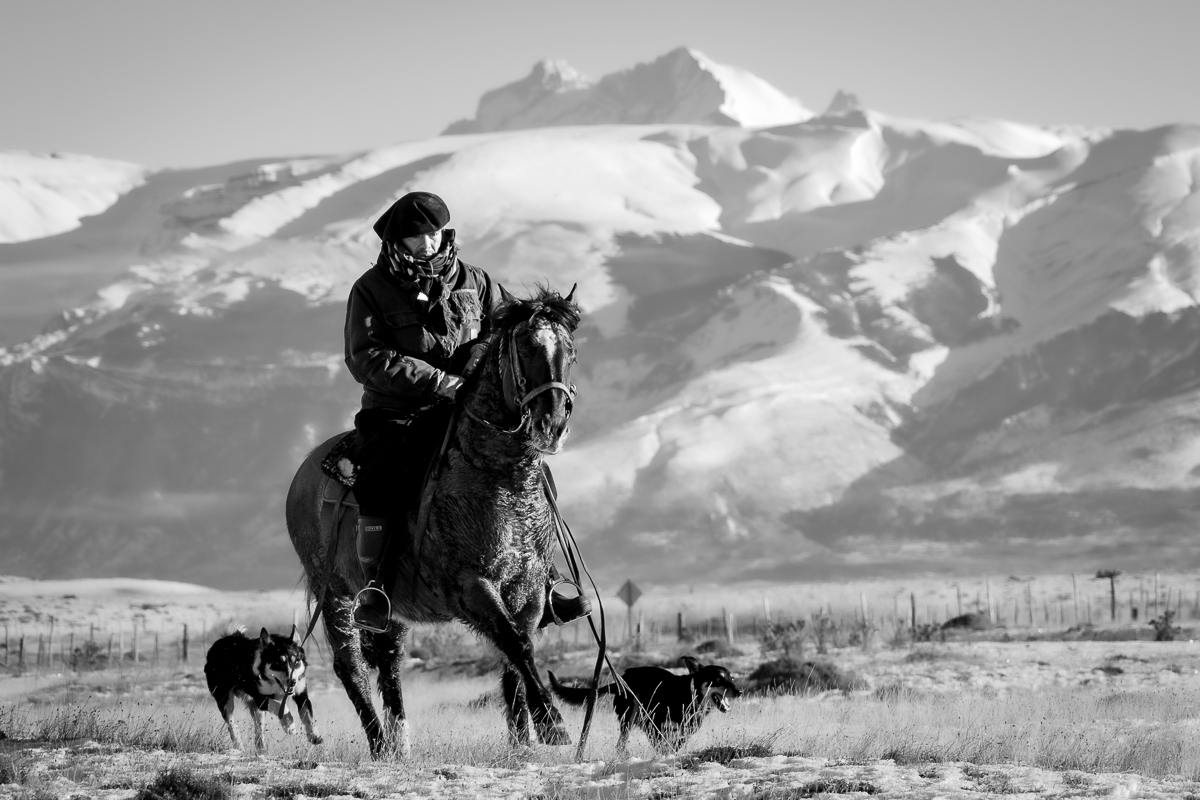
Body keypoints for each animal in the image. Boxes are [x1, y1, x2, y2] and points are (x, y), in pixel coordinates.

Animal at [284, 285, 581, 758]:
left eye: (569, 350)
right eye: (525, 345)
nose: (551, 424)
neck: (498, 477)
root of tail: (303, 473)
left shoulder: (529, 591)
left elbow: (517, 651)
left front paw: (524, 738)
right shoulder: (472, 585)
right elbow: (515, 644)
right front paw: (553, 726)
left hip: (386, 607)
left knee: (389, 660)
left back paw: (401, 743)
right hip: (335, 593)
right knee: (350, 665)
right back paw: (380, 744)